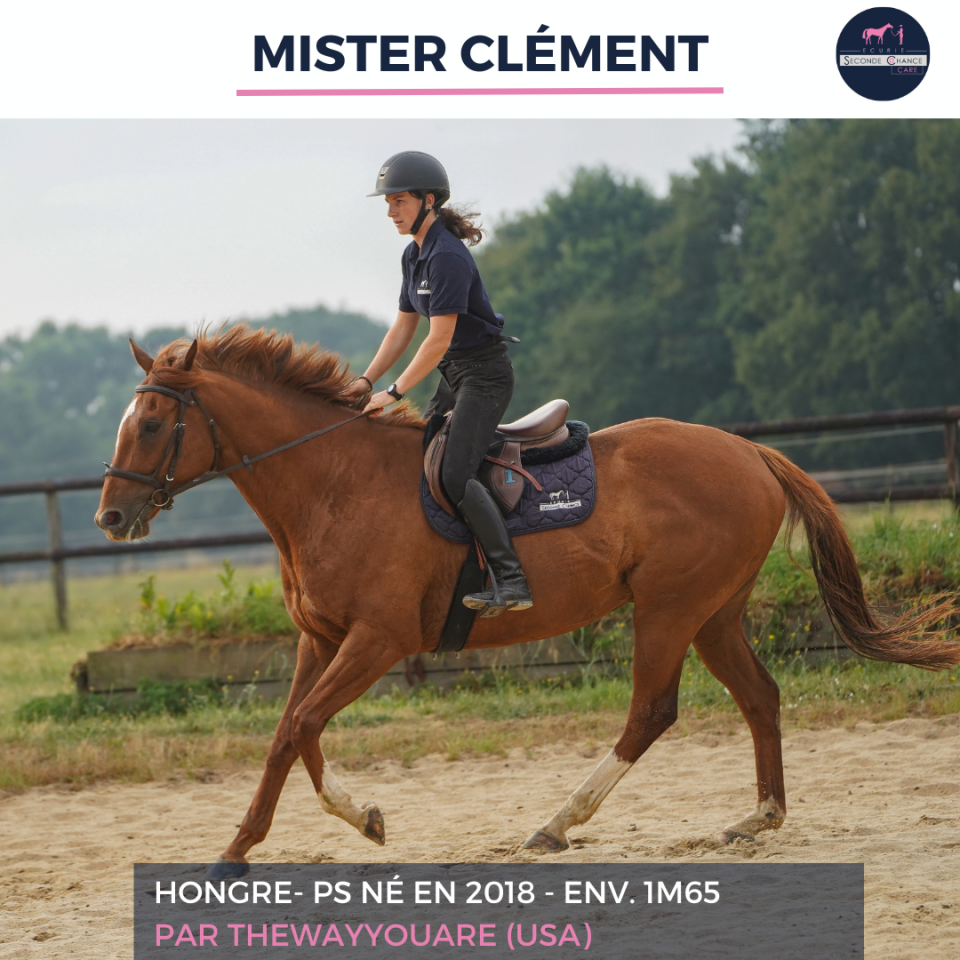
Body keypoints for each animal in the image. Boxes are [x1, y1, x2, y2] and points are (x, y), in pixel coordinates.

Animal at [95, 326, 959, 875]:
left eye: (153, 425)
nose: (110, 517)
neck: (331, 484)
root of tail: (749, 450)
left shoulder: (377, 640)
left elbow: (301, 725)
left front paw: (336, 823)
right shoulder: (322, 639)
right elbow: (288, 734)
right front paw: (260, 842)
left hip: (670, 610)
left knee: (652, 712)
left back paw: (557, 823)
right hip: (714, 612)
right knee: (760, 696)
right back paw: (760, 818)